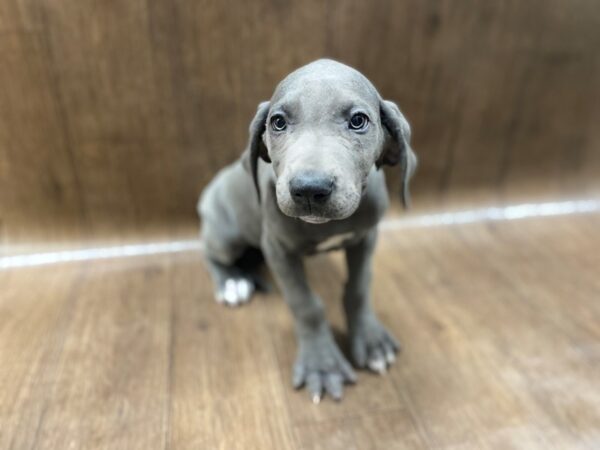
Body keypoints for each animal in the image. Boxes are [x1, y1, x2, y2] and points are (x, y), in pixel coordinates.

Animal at [199, 59, 414, 400]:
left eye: (358, 120)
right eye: (278, 122)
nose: (310, 189)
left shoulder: (365, 238)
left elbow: (359, 287)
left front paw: (371, 341)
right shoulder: (278, 250)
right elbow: (306, 304)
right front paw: (322, 365)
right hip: (225, 234)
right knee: (210, 252)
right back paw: (232, 281)